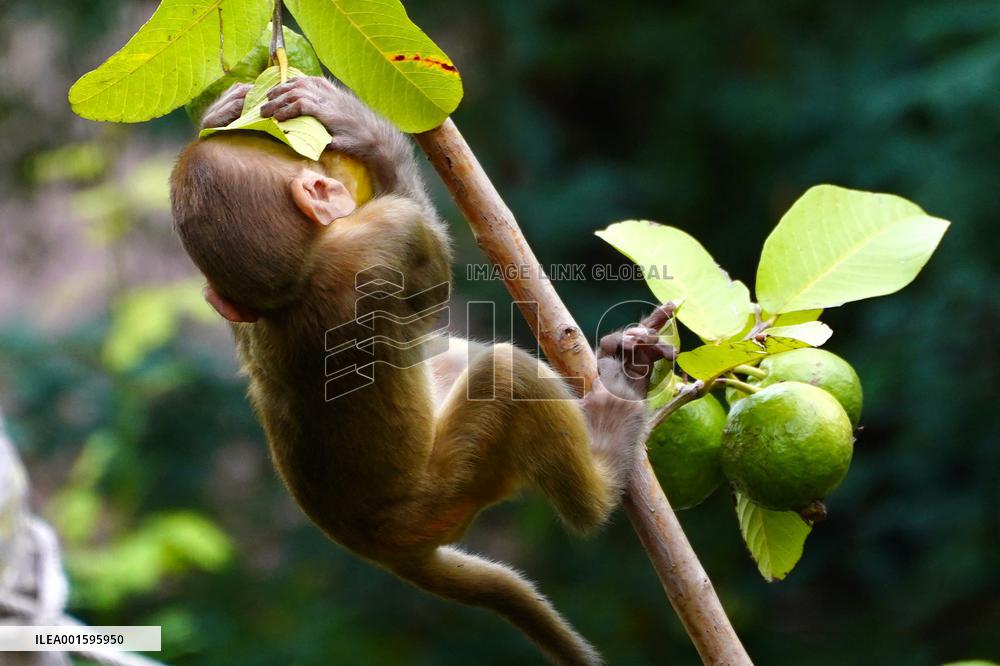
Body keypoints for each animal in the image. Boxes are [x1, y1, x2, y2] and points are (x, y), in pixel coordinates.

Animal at [170, 76, 675, 665]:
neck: (294, 287)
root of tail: (386, 550)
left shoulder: (250, 308)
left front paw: (218, 115)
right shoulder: (388, 231)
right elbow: (433, 290)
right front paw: (369, 135)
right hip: (452, 490)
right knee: (503, 376)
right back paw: (612, 435)